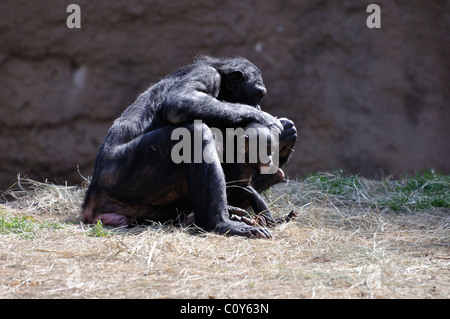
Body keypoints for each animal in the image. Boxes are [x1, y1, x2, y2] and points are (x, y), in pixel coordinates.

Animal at [81, 55, 298, 239]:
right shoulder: (207, 75)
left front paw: (287, 134)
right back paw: (222, 223)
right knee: (194, 132)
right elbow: (180, 102)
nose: (259, 106)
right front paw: (267, 119)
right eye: (259, 94)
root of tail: (90, 206)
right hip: (122, 174)